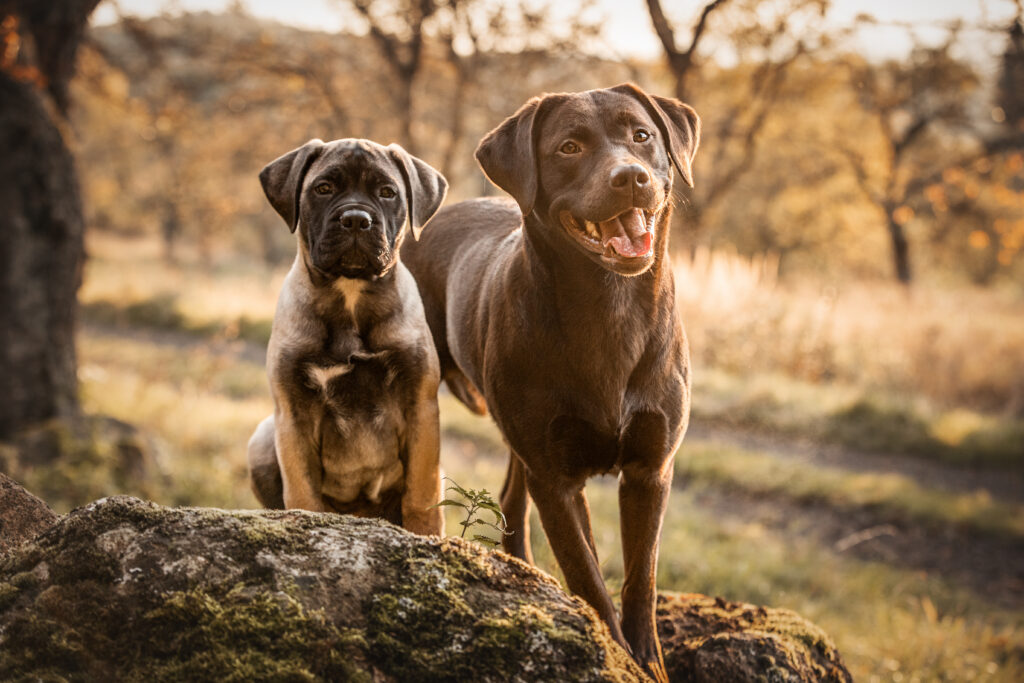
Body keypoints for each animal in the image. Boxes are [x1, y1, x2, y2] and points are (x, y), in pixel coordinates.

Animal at [247, 136, 448, 536]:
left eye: (388, 192)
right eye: (323, 188)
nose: (356, 219)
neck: (350, 296)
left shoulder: (420, 405)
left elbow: (421, 492)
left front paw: (426, 535)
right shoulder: (292, 414)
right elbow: (303, 493)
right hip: (261, 440)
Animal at [403, 83, 700, 679]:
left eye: (642, 135)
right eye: (569, 147)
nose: (630, 177)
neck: (610, 307)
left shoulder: (650, 469)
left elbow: (641, 578)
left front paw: (647, 660)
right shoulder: (557, 481)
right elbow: (588, 576)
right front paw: (613, 653)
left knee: (511, 496)